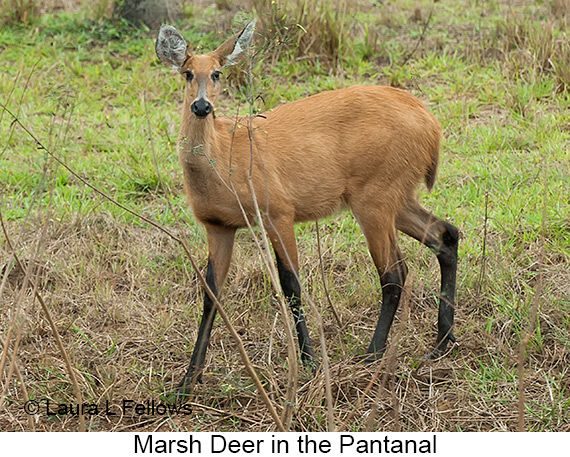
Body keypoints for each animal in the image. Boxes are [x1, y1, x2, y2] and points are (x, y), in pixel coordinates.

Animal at [155, 19, 458, 398]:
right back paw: (441, 343)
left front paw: (309, 364)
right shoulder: (218, 225)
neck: (225, 159)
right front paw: (187, 381)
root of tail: (432, 124)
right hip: (396, 196)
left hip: (374, 197)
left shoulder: (278, 212)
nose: (201, 107)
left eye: (217, 73)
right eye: (187, 73)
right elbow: (211, 294)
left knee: (394, 272)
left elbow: (291, 285)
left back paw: (372, 355)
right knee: (446, 234)